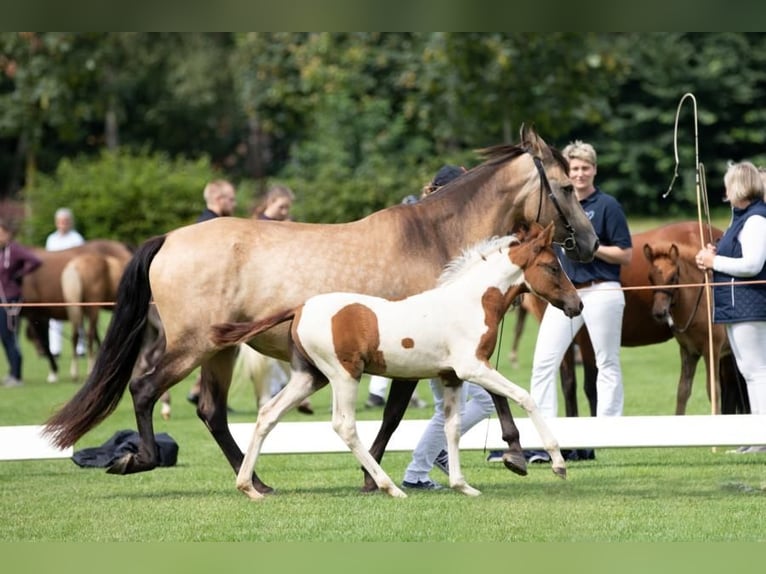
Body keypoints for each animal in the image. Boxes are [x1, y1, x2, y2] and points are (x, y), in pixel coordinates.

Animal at [210, 223, 584, 502]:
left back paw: (249, 488)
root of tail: (300, 308)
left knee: (268, 414)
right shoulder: (473, 367)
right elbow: (525, 397)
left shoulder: (452, 376)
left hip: (309, 377)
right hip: (344, 375)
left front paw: (462, 485)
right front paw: (558, 463)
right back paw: (388, 487)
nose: (576, 305)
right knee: (344, 426)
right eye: (552, 267)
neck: (473, 301)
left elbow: (451, 427)